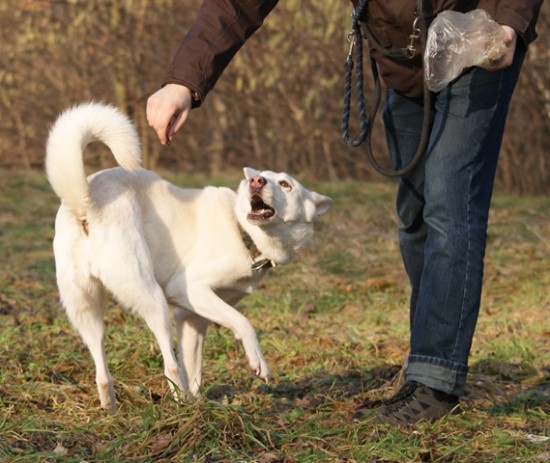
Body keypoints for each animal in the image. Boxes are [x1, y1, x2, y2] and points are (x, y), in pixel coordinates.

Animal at [46, 103, 332, 412]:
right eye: (259, 178)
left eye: (285, 184)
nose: (255, 181)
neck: (243, 232)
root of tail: (87, 202)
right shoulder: (190, 289)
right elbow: (244, 323)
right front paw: (258, 363)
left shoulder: (191, 315)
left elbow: (194, 368)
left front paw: (197, 407)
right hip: (151, 297)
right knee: (170, 365)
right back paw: (176, 401)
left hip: (85, 307)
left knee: (102, 366)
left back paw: (113, 407)